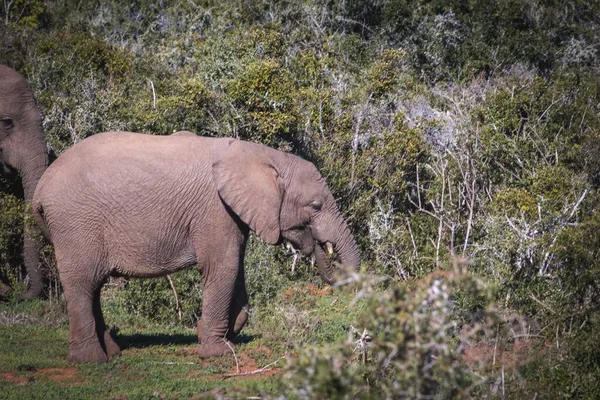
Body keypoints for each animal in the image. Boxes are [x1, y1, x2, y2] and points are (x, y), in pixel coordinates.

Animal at [32, 131, 358, 362]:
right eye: (315, 206)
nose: (320, 247)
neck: (263, 155)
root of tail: (40, 190)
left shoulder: (231, 215)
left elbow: (236, 269)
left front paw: (218, 333)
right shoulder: (215, 210)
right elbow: (223, 267)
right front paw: (220, 352)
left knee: (94, 287)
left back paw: (112, 351)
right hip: (75, 223)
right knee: (83, 284)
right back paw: (91, 360)